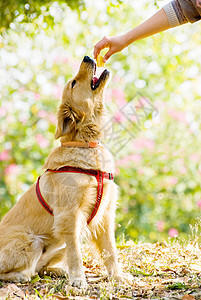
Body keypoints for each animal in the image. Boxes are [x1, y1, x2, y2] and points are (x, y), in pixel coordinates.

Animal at [0, 56, 133, 288]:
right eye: (73, 83)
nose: (87, 57)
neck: (85, 144)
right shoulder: (70, 216)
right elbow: (76, 254)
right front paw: (79, 279)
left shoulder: (105, 215)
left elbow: (110, 251)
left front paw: (117, 275)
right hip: (32, 241)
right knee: (19, 272)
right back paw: (20, 276)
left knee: (38, 269)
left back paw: (57, 271)